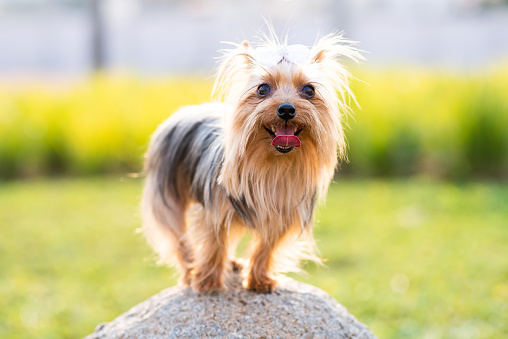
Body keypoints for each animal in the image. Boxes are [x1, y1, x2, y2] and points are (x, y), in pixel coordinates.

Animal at [140, 31, 362, 294]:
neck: (273, 163)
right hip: (166, 192)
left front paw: (258, 279)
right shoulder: (216, 208)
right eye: (262, 89)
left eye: (309, 90)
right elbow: (213, 241)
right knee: (178, 237)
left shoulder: (282, 210)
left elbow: (266, 246)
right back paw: (189, 272)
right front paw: (207, 281)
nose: (286, 109)